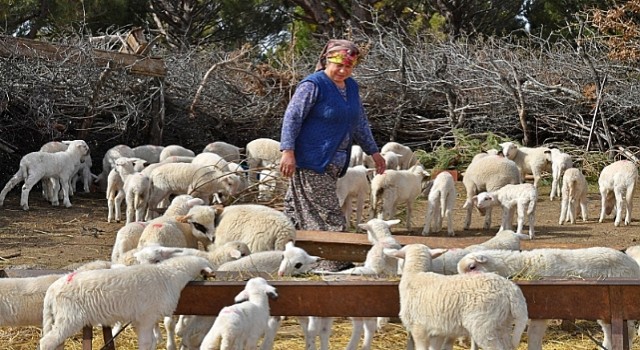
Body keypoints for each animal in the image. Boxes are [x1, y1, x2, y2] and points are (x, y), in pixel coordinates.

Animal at [38, 254, 214, 350]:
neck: (169, 274)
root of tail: (52, 289)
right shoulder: (147, 317)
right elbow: (146, 342)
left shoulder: (140, 319)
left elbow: (151, 342)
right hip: (70, 318)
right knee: (46, 342)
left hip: (61, 318)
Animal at [384, 243, 524, 350]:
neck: (415, 275)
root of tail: (510, 289)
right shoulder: (437, 331)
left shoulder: (419, 328)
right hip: (503, 324)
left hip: (485, 326)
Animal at [456, 246, 640, 350]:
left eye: (472, 267)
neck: (524, 265)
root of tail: (632, 263)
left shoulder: (542, 313)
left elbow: (533, 337)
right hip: (604, 309)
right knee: (610, 332)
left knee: (628, 332)